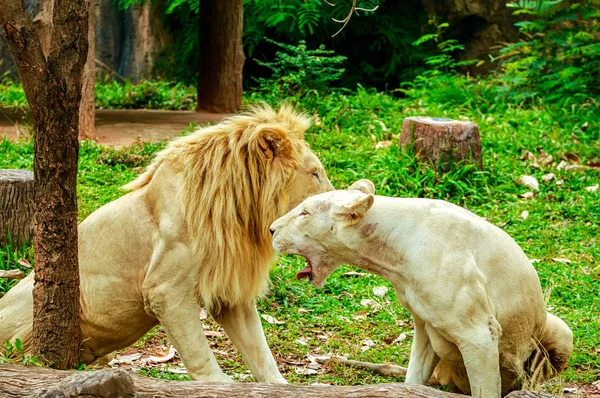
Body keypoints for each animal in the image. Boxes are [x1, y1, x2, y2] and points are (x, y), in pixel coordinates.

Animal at [0, 103, 336, 382]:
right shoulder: (165, 290)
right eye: (315, 174)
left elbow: (261, 353)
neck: (242, 217)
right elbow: (201, 357)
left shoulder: (231, 292)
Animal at [270, 180, 572, 394]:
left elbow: (486, 390)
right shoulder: (425, 325)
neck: (395, 253)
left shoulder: (479, 334)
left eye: (304, 213)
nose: (271, 229)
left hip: (562, 331)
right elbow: (413, 378)